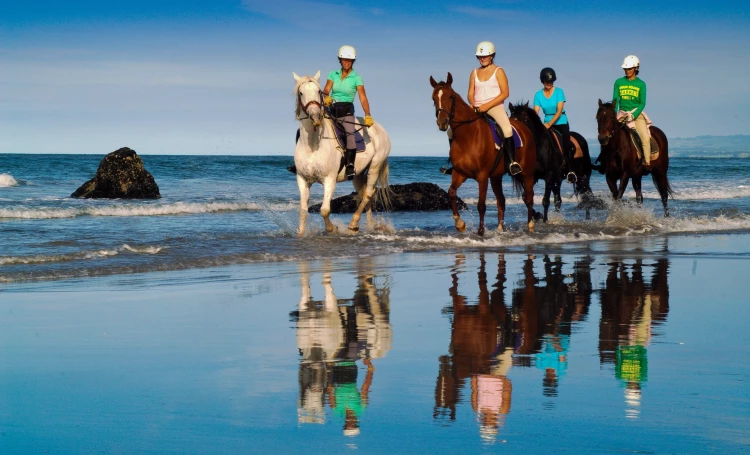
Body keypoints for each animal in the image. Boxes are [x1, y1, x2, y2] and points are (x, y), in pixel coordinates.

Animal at [292, 72, 390, 235]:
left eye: (319, 91)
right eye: (301, 93)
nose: (315, 116)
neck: (312, 146)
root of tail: (379, 128)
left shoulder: (329, 180)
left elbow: (324, 210)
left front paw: (332, 228)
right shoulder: (302, 179)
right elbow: (303, 210)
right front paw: (300, 233)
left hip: (375, 166)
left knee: (369, 193)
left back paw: (353, 223)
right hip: (358, 174)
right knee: (364, 193)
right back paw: (367, 226)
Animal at [432, 73, 536, 235]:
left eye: (450, 97)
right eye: (433, 99)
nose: (442, 122)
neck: (468, 136)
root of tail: (525, 129)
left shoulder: (482, 176)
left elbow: (481, 204)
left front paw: (480, 231)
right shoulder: (459, 173)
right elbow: (451, 193)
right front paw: (460, 224)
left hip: (527, 174)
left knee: (529, 198)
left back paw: (530, 226)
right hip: (496, 177)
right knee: (501, 200)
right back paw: (500, 228)